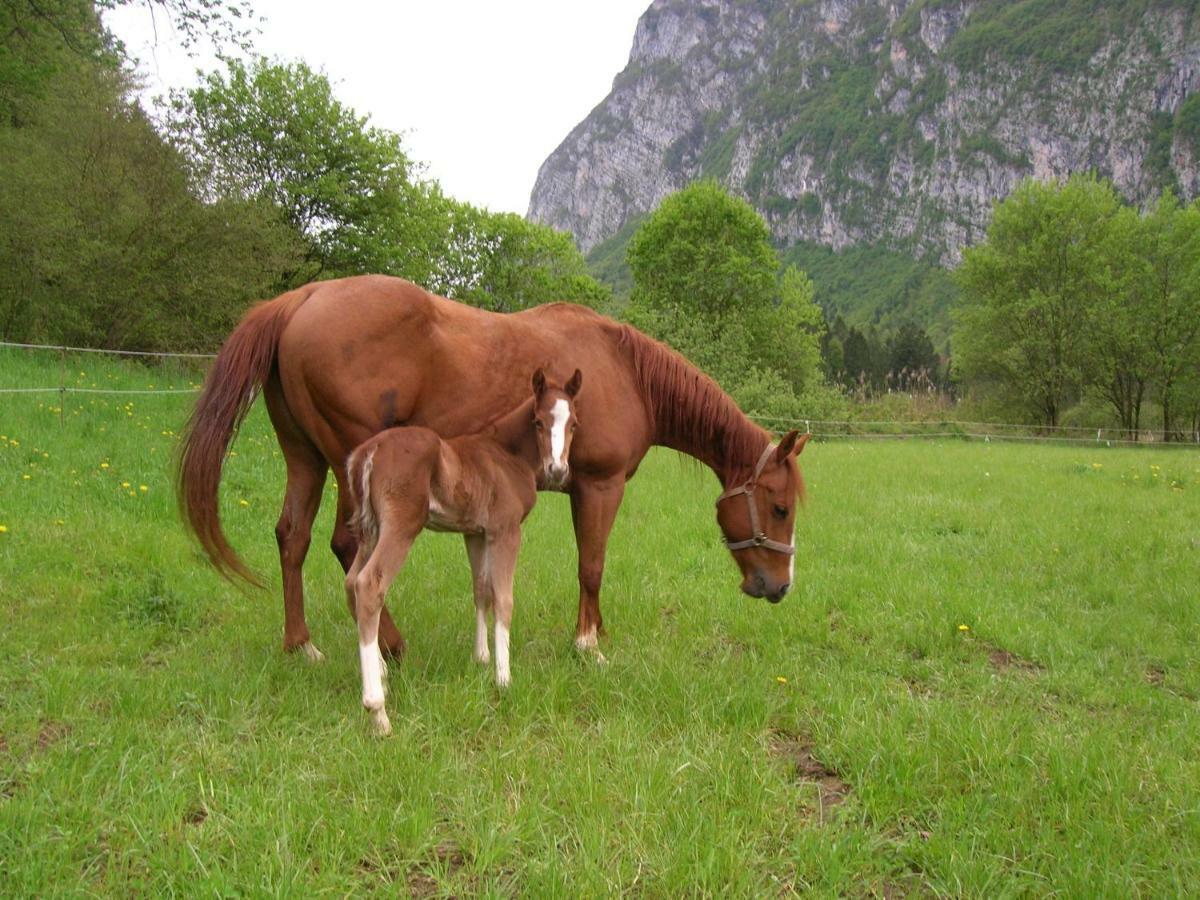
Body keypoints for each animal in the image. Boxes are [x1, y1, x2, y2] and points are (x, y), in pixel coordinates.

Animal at [175, 274, 806, 662]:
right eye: (779, 507)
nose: (779, 587)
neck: (624, 370)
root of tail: (303, 298)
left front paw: (594, 631)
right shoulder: (599, 487)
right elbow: (592, 566)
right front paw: (588, 644)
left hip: (304, 456)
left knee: (293, 538)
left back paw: (301, 644)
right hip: (351, 463)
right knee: (347, 550)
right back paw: (391, 646)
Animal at [343, 369, 580, 734]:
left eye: (573, 424)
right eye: (538, 422)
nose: (557, 470)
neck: (506, 454)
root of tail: (370, 451)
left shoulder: (475, 533)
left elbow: (481, 590)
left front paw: (481, 658)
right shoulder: (505, 531)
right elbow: (504, 598)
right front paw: (503, 678)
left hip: (370, 530)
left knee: (351, 581)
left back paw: (381, 673)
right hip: (400, 527)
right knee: (369, 585)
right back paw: (377, 710)